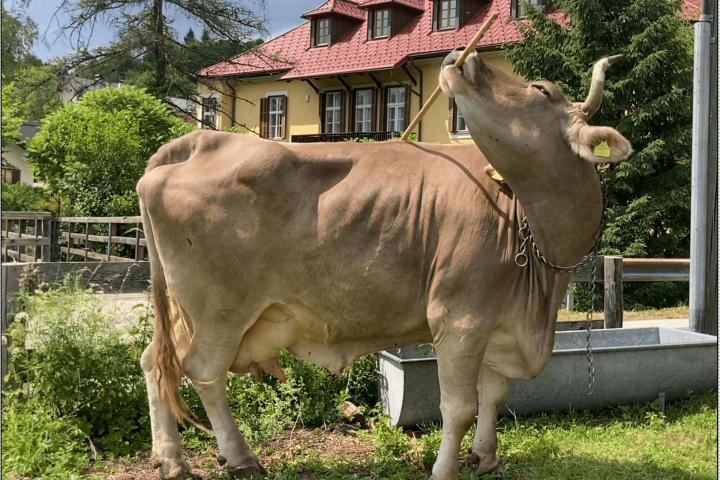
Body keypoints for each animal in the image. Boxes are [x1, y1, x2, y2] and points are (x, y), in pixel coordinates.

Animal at [137, 49, 632, 480]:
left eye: (540, 89)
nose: (464, 57)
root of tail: (199, 140)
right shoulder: (460, 318)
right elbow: (458, 408)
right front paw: (445, 470)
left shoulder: (499, 320)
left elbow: (493, 394)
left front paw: (486, 457)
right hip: (219, 311)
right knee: (203, 373)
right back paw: (231, 458)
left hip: (189, 311)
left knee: (156, 364)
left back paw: (174, 458)